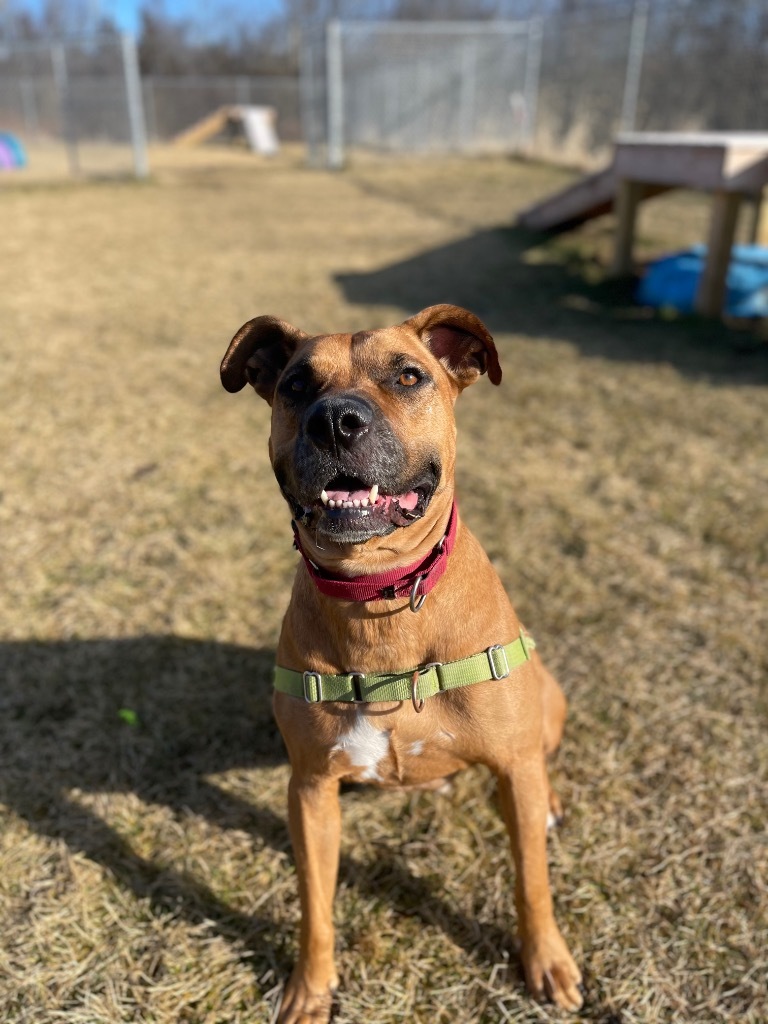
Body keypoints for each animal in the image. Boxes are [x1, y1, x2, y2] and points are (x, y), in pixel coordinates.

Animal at [221, 305, 581, 1024]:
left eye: (409, 376)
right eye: (296, 385)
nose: (335, 420)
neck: (381, 600)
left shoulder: (513, 766)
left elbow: (531, 879)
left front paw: (546, 961)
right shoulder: (311, 789)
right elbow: (315, 904)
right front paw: (310, 987)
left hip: (545, 703)